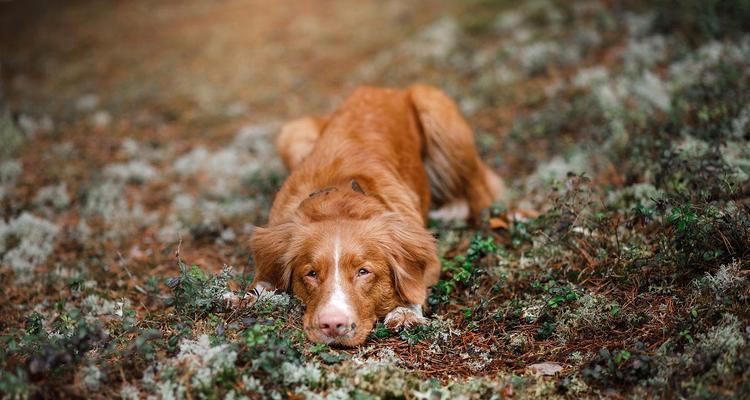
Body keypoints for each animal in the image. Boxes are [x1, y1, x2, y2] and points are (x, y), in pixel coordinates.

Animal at [251, 85, 506, 346]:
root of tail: (386, 89)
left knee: (480, 191)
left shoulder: (430, 256)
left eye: (363, 272)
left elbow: (414, 288)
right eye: (311, 274)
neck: (339, 195)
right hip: (294, 133)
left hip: (437, 111)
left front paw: (404, 312)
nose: (332, 325)